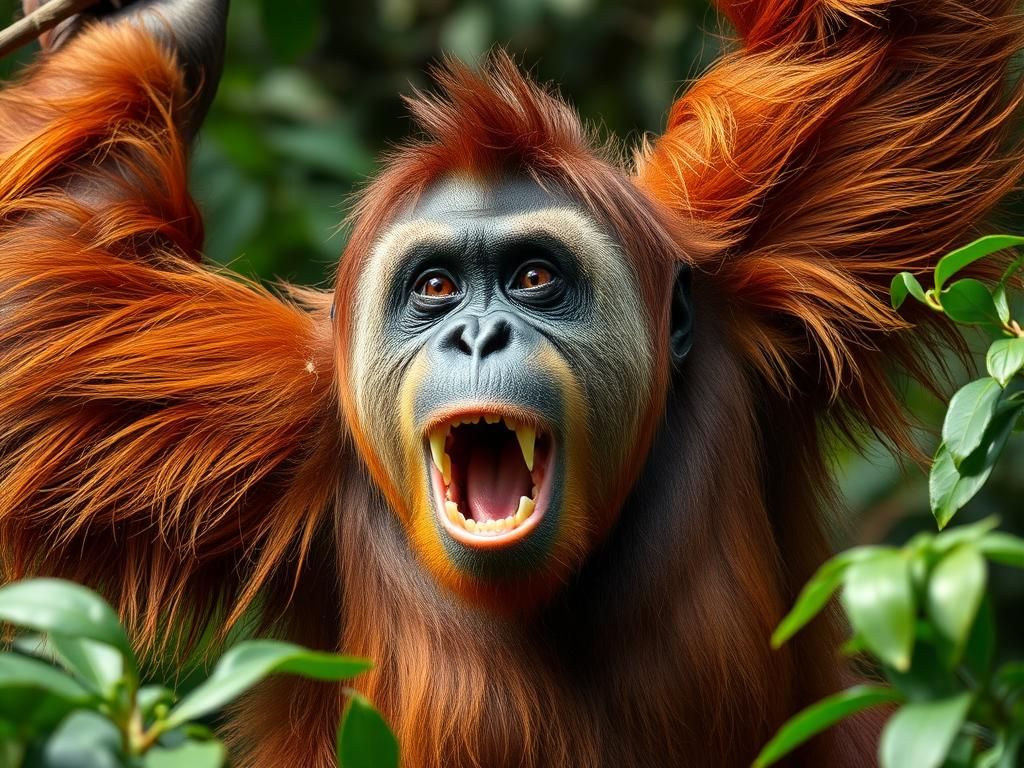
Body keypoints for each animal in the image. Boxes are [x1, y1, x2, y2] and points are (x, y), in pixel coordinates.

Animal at [0, 0, 1021, 766]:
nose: (479, 333)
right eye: (435, 288)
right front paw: (161, 26)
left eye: (533, 277)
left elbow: (881, 41)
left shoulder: (752, 270)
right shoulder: (252, 410)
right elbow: (37, 311)